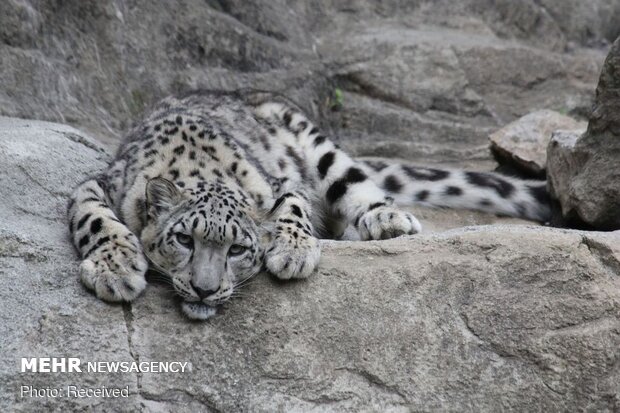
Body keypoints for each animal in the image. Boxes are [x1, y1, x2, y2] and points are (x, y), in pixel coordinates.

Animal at [68, 89, 548, 318]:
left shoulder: (281, 183)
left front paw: (294, 252)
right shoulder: (96, 186)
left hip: (319, 146)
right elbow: (95, 219)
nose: (205, 288)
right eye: (184, 239)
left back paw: (385, 220)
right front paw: (116, 269)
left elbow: (293, 208)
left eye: (238, 249)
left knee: (357, 185)